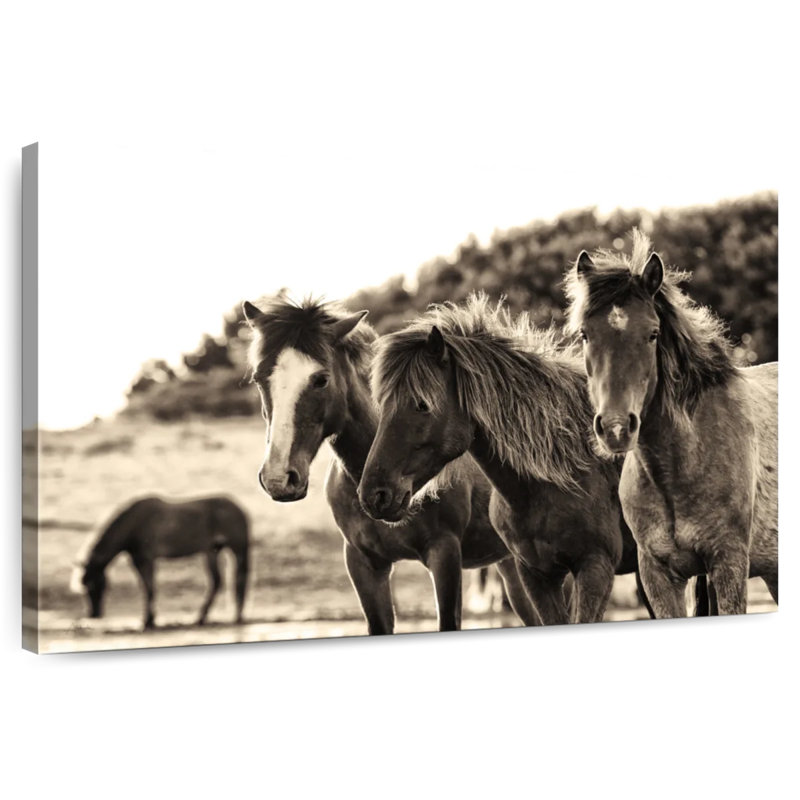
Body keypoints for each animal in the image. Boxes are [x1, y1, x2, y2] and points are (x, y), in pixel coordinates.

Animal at [73, 496, 250, 629]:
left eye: (95, 585)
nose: (94, 614)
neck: (134, 523)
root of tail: (239, 508)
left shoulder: (145, 560)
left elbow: (149, 588)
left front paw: (148, 621)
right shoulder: (137, 561)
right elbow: (146, 587)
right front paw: (149, 619)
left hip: (237, 550)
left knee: (238, 579)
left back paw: (228, 616)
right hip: (212, 552)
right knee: (218, 582)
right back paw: (204, 618)